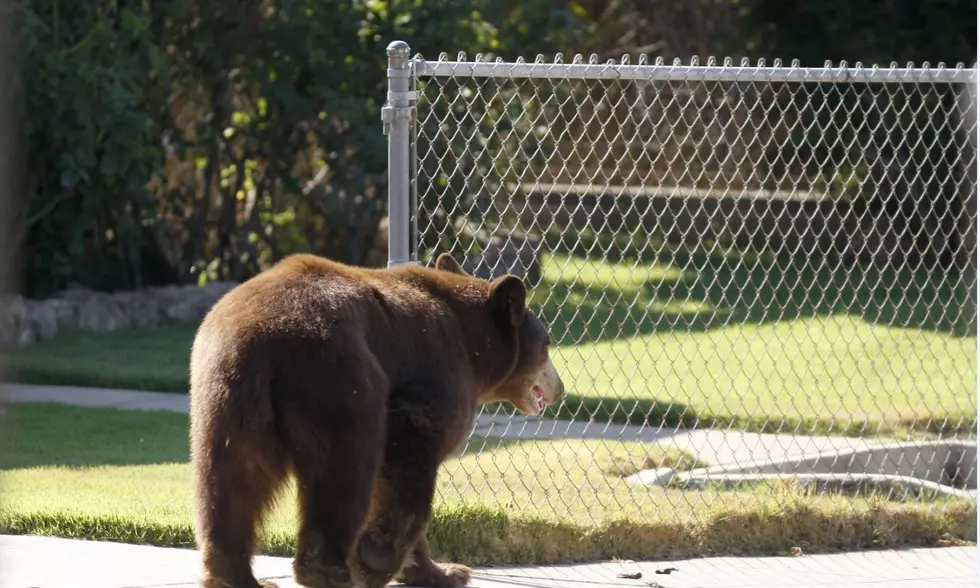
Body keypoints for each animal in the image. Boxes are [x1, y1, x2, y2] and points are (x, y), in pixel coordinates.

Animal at [188, 252, 568, 588]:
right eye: (547, 342)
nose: (560, 388)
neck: (474, 347)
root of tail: (265, 339)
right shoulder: (436, 373)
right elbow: (409, 457)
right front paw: (378, 559)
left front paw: (445, 572)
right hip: (340, 380)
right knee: (346, 470)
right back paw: (333, 573)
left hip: (226, 397)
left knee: (231, 481)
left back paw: (236, 577)